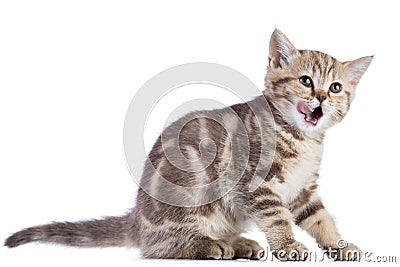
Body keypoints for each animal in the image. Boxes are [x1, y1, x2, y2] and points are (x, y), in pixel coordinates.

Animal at [4, 29, 372, 262]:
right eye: (305, 81)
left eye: (336, 87)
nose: (321, 97)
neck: (301, 140)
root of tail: (137, 221)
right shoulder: (255, 182)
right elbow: (278, 217)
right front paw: (289, 246)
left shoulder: (303, 189)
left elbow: (320, 218)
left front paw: (340, 245)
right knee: (156, 247)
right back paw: (207, 246)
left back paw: (237, 243)